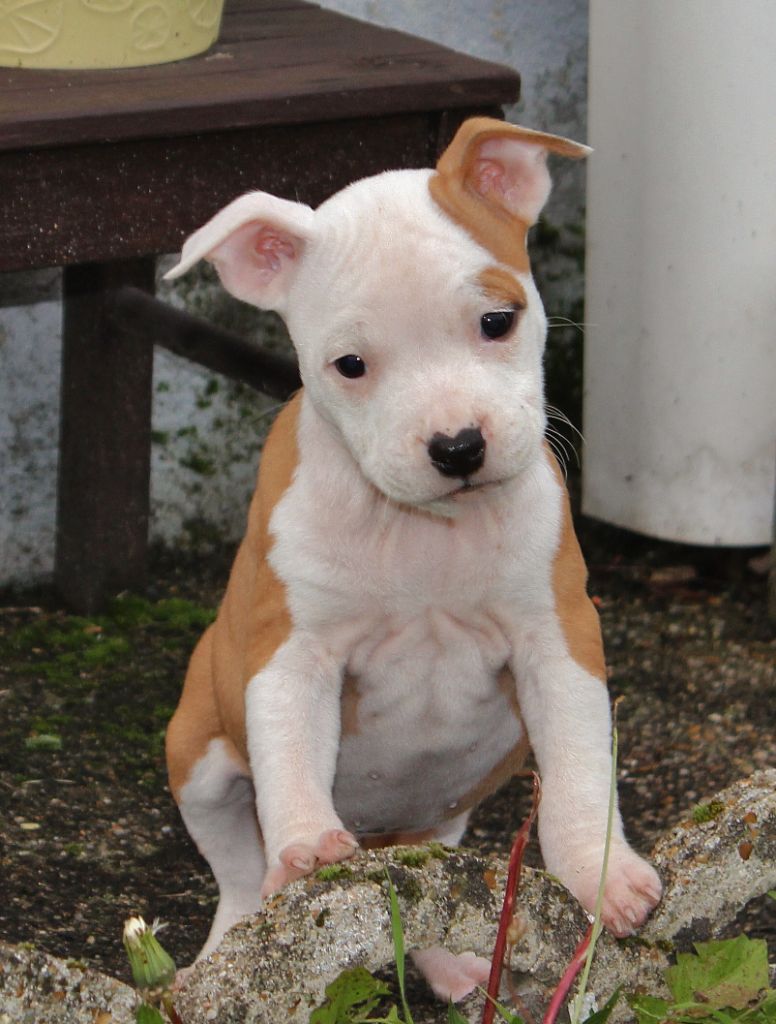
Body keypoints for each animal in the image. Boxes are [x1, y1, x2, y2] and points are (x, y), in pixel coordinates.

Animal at [164, 117, 662, 1001]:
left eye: (498, 320)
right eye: (350, 365)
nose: (457, 446)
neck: (426, 531)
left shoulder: (557, 636)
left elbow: (579, 765)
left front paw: (602, 875)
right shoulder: (293, 653)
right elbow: (290, 750)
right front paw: (304, 846)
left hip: (440, 819)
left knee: (428, 884)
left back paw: (452, 963)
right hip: (198, 761)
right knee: (237, 875)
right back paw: (230, 950)